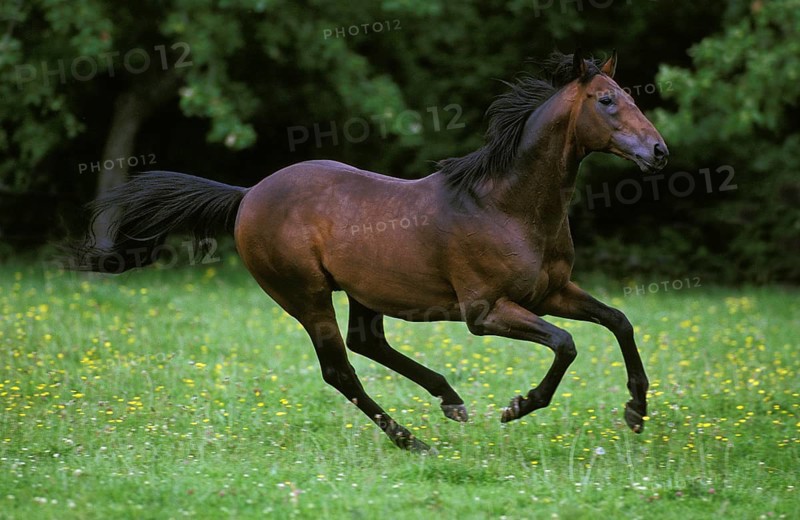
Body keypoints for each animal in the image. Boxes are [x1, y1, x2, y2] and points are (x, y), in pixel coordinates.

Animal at [71, 50, 668, 451]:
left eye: (633, 97)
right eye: (607, 101)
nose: (660, 152)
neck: (506, 206)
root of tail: (247, 195)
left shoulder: (552, 291)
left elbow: (619, 321)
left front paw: (636, 411)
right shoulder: (484, 313)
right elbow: (566, 344)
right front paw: (518, 406)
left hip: (362, 289)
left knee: (367, 343)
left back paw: (449, 400)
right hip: (307, 296)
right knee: (340, 369)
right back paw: (412, 439)